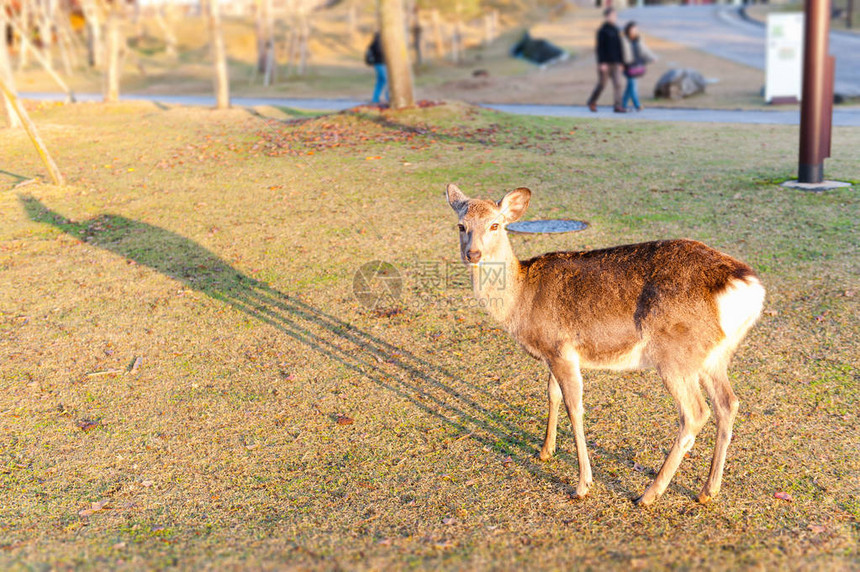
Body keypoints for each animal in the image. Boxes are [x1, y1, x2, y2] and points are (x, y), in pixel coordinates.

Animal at [446, 183, 764, 504]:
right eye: (461, 225)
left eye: (495, 225)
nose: (473, 253)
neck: (521, 301)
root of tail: (748, 286)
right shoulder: (553, 353)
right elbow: (552, 394)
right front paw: (546, 451)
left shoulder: (561, 350)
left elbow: (575, 408)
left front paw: (582, 485)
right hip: (714, 355)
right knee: (728, 403)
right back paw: (708, 490)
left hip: (676, 353)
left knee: (696, 413)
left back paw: (649, 494)